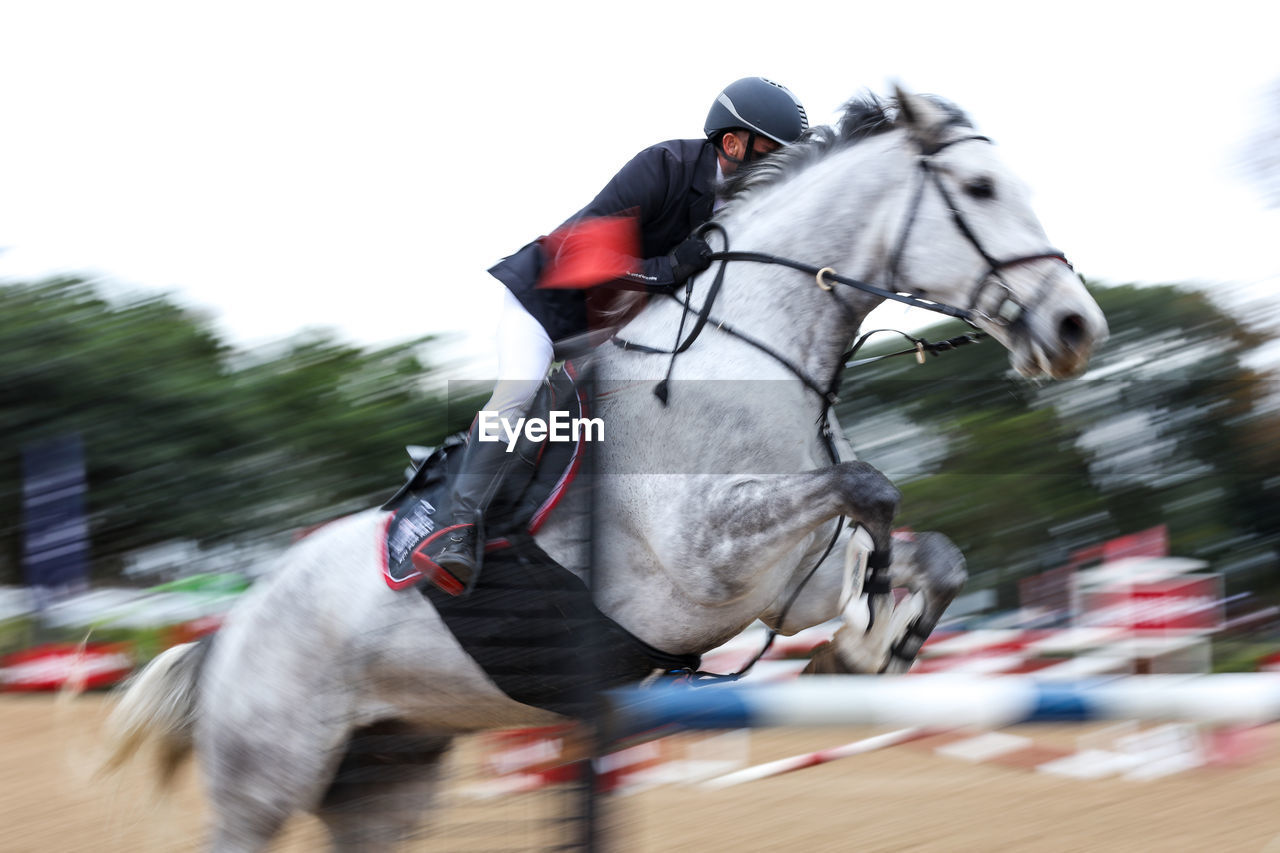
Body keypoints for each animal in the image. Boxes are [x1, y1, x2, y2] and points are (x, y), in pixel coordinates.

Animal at [107, 89, 1111, 845]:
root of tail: (228, 629)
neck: (756, 352)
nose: (1076, 327)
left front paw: (874, 644)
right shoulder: (710, 559)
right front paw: (868, 636)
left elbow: (927, 553)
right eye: (979, 187)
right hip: (264, 780)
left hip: (384, 776)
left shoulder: (791, 575)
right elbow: (871, 490)